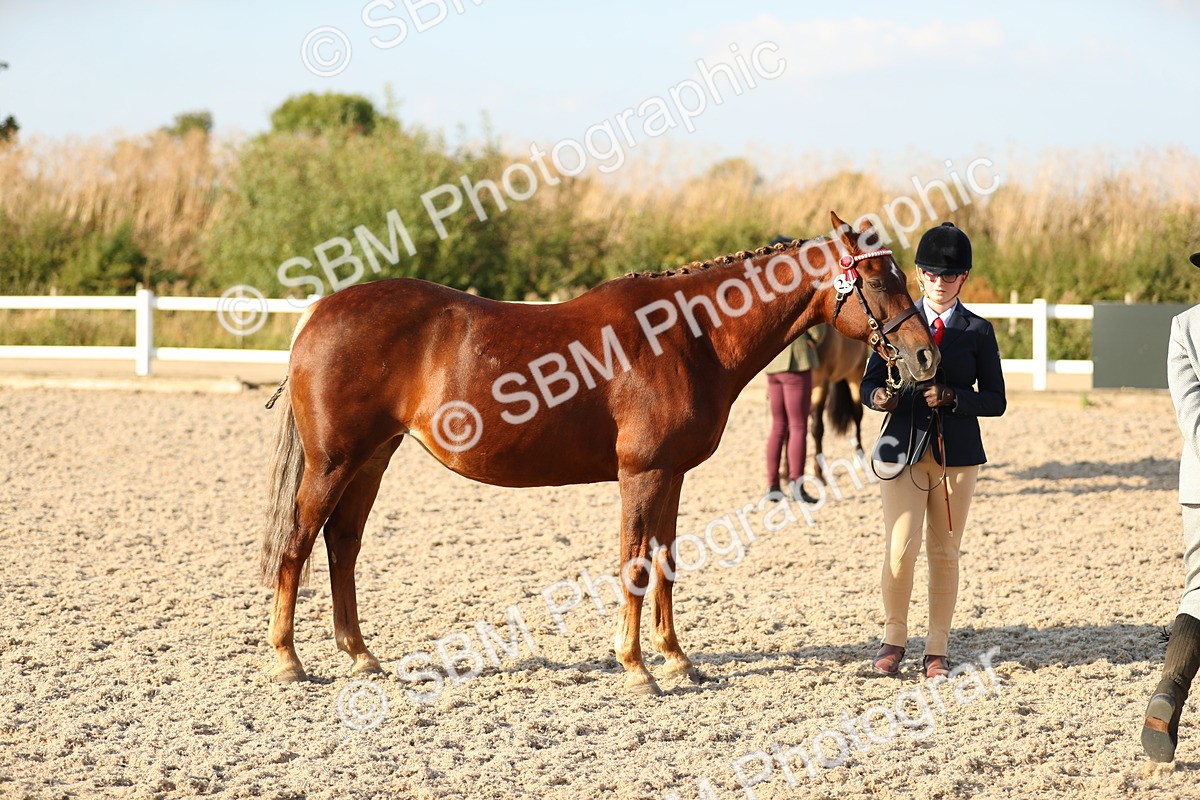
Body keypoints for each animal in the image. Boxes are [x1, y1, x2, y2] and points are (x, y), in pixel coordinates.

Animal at [261, 212, 938, 694]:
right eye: (878, 279)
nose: (926, 355)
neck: (687, 335)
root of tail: (318, 312)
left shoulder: (672, 476)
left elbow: (666, 561)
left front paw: (677, 660)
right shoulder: (642, 474)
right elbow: (634, 565)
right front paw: (636, 668)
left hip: (372, 460)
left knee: (342, 545)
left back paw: (360, 656)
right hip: (333, 462)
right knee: (297, 543)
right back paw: (288, 661)